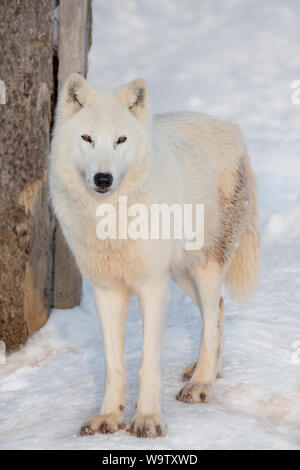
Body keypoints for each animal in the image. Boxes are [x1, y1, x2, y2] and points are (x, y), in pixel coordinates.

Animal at [48, 73, 260, 436]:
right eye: (87, 138)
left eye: (120, 140)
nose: (102, 179)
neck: (111, 220)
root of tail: (232, 129)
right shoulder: (107, 291)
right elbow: (114, 365)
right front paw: (109, 417)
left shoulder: (151, 287)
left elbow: (148, 363)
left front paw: (147, 418)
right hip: (180, 276)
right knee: (218, 310)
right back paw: (205, 371)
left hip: (202, 270)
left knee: (211, 320)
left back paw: (200, 384)